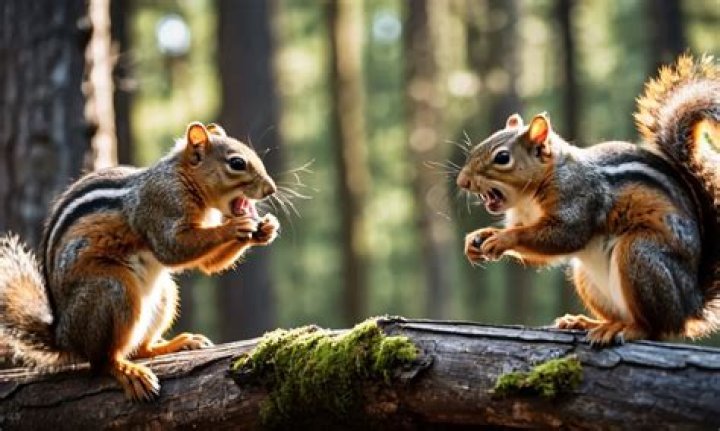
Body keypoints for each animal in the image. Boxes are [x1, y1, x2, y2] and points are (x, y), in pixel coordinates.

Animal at [0, 121, 280, 401]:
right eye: (237, 163)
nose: (271, 189)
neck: (183, 178)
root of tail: (64, 337)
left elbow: (208, 264)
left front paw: (267, 229)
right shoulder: (160, 207)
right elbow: (173, 249)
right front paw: (235, 226)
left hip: (164, 295)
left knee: (140, 349)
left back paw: (178, 344)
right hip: (113, 290)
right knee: (102, 360)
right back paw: (128, 371)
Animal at [457, 54, 719, 345]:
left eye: (502, 157)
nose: (462, 181)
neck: (527, 199)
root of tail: (689, 306)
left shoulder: (579, 199)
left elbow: (564, 236)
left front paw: (503, 239)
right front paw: (479, 237)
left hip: (640, 256)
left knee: (654, 328)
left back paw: (626, 329)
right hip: (586, 278)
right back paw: (588, 322)